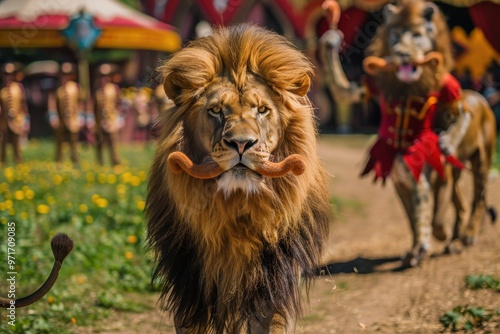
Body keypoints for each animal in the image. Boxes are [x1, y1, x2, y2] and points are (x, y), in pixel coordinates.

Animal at [146, 24, 332, 332]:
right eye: (216, 110)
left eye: (262, 110)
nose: (242, 143)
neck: (237, 210)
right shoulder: (190, 285)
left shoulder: (275, 280)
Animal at [320, 0, 496, 266]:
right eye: (395, 35)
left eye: (417, 35)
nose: (401, 52)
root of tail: (481, 98)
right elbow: (345, 92)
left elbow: (431, 206)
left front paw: (429, 240)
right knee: (460, 204)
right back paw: (452, 242)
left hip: (482, 160)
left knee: (478, 198)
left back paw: (467, 236)